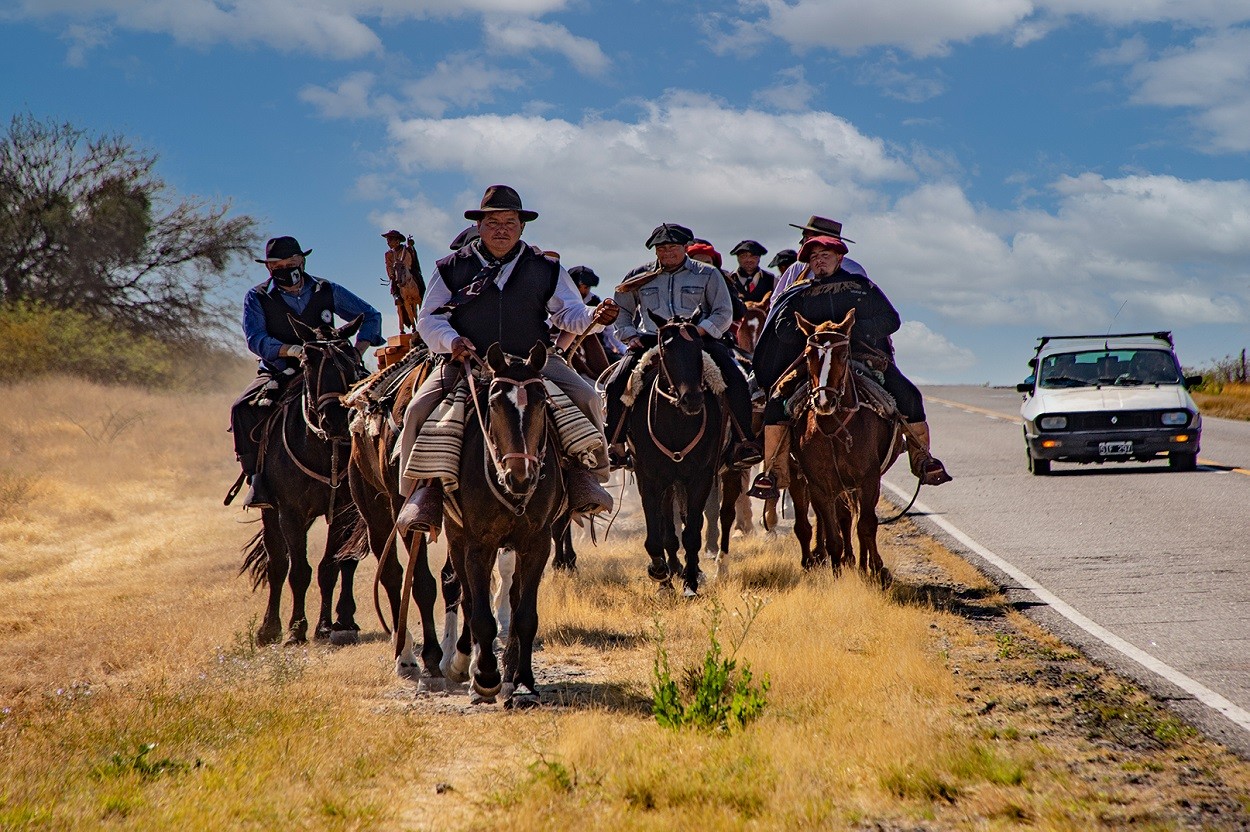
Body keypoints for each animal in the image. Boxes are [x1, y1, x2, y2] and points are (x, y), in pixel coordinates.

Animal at [238, 314, 365, 644]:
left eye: (351, 358)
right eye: (307, 360)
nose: (335, 419)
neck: (321, 447)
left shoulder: (343, 511)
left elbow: (330, 566)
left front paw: (324, 626)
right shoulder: (291, 512)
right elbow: (297, 571)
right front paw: (296, 629)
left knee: (347, 561)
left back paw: (345, 619)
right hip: (271, 512)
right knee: (277, 563)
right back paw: (269, 628)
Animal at [630, 307, 730, 592]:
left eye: (697, 345)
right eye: (666, 347)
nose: (692, 399)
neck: (676, 425)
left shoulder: (700, 478)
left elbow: (692, 533)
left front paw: (691, 581)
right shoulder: (649, 479)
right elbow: (656, 534)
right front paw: (660, 574)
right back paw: (671, 568)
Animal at [790, 306, 900, 577]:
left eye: (842, 354)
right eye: (808, 355)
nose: (823, 401)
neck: (834, 429)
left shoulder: (869, 479)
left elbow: (867, 525)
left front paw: (876, 569)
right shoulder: (819, 485)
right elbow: (833, 536)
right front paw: (836, 572)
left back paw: (863, 564)